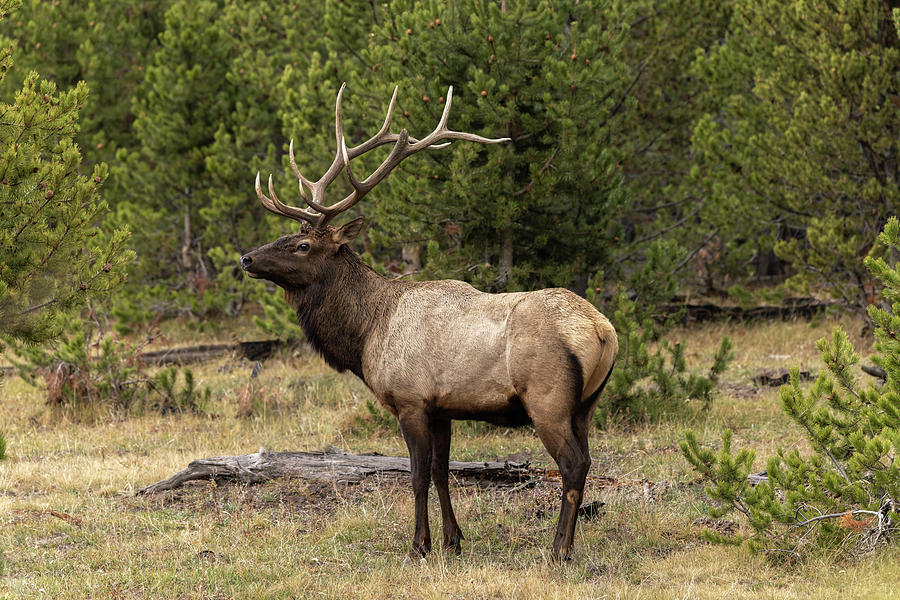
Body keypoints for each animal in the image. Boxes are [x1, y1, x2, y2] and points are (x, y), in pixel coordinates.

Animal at [239, 84, 620, 564]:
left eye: (303, 245)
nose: (246, 258)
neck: (366, 334)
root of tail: (602, 330)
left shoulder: (410, 400)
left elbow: (417, 475)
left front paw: (419, 545)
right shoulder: (443, 407)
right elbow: (442, 471)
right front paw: (453, 540)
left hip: (547, 398)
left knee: (572, 465)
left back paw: (558, 550)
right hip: (586, 404)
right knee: (586, 460)